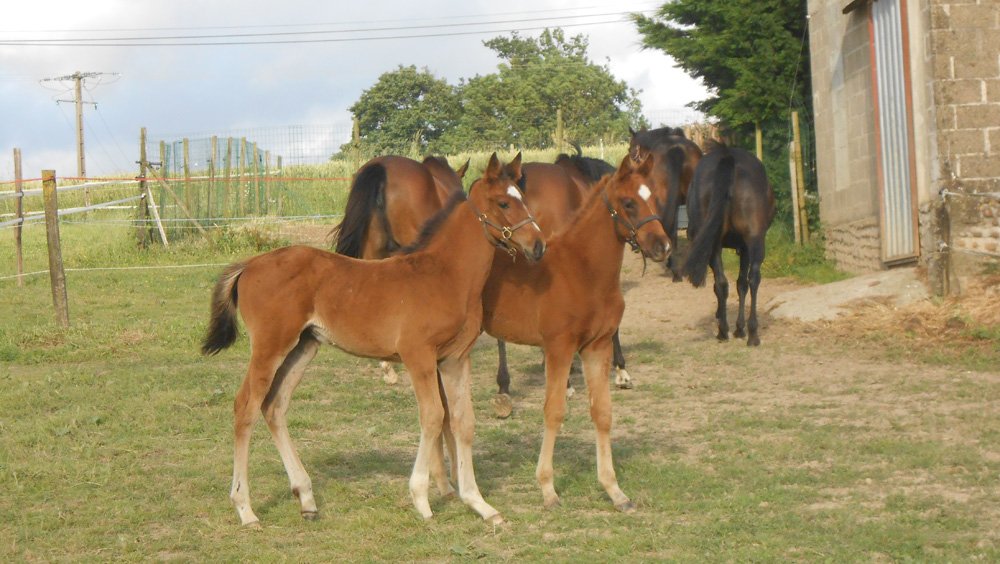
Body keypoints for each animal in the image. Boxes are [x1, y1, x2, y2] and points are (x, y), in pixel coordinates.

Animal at [476, 153, 669, 512]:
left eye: (656, 198)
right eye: (628, 203)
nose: (662, 246)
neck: (584, 270)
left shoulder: (597, 346)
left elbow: (602, 412)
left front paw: (614, 490)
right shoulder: (559, 348)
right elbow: (554, 412)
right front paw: (547, 488)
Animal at [683, 141, 775, 346]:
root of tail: (728, 157)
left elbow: (732, 285)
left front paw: (734, 326)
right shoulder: (744, 247)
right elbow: (741, 283)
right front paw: (739, 327)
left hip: (719, 244)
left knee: (724, 283)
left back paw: (725, 330)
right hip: (754, 240)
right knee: (751, 279)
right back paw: (751, 333)